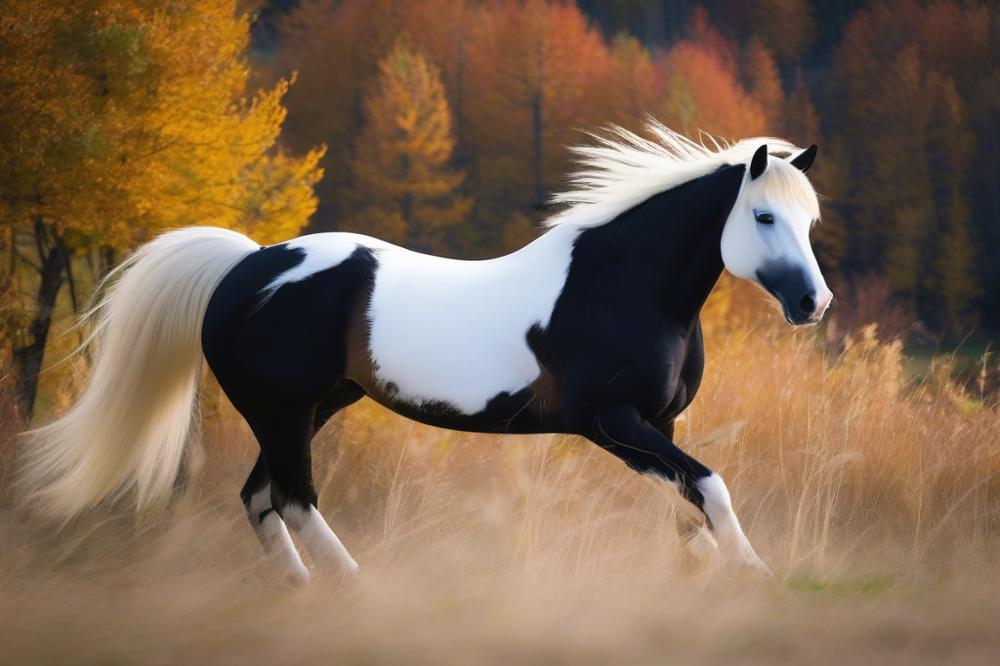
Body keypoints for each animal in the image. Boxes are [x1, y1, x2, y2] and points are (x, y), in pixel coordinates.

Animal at [20, 123, 831, 583]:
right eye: (763, 216)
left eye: (810, 219)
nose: (812, 304)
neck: (620, 286)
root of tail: (246, 266)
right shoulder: (610, 421)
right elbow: (710, 488)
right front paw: (755, 577)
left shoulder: (658, 425)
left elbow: (687, 507)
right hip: (282, 413)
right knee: (293, 498)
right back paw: (357, 591)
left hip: (312, 408)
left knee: (258, 499)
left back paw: (302, 595)